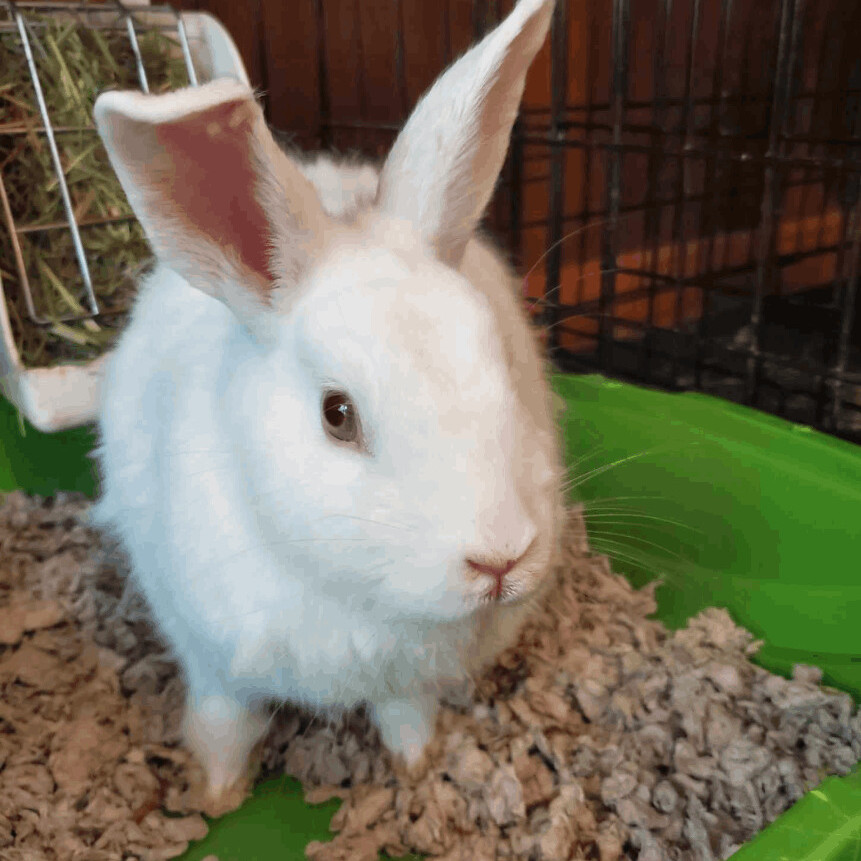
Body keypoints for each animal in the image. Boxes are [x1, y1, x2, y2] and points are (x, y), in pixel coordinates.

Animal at [90, 0, 563, 810]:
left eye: (502, 359)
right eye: (336, 414)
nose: (500, 559)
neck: (356, 596)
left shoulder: (408, 682)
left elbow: (406, 718)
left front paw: (416, 772)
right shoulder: (212, 658)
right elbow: (224, 723)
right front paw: (215, 795)